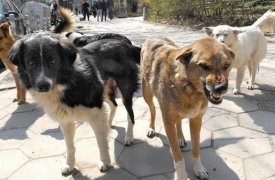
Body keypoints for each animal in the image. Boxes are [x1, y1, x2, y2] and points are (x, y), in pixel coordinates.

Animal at [142, 36, 235, 179]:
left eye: (226, 65)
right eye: (203, 66)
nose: (221, 88)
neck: (187, 86)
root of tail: (153, 37)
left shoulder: (196, 120)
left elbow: (196, 149)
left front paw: (198, 168)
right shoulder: (168, 122)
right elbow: (177, 156)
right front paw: (181, 175)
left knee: (179, 122)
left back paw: (180, 138)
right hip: (146, 93)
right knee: (152, 110)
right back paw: (151, 128)